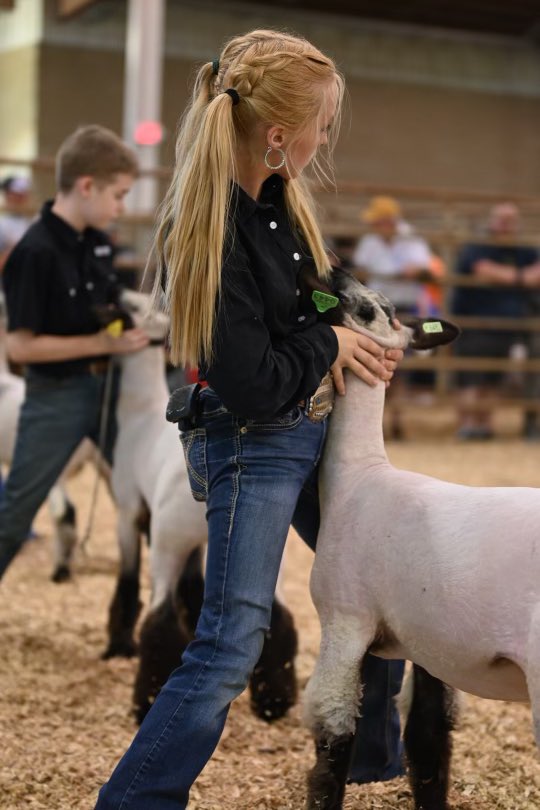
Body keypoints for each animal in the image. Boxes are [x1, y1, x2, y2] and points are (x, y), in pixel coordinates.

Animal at [299, 269, 539, 810]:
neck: (359, 477)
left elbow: (333, 735)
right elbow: (428, 742)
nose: (333, 271)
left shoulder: (344, 619)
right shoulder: (432, 641)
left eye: (368, 309)